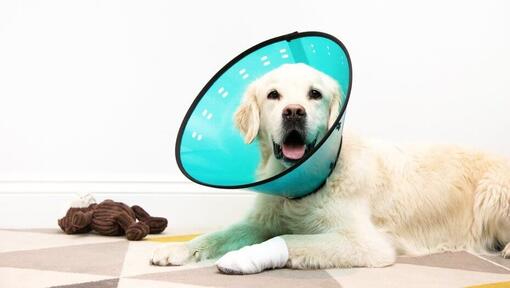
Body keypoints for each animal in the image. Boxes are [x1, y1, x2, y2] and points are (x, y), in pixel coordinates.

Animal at [151, 62, 510, 274]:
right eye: (273, 95)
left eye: (315, 94)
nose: (294, 112)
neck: (309, 182)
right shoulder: (262, 220)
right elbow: (217, 235)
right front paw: (176, 250)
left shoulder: (364, 242)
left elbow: (290, 239)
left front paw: (245, 256)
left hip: (494, 190)